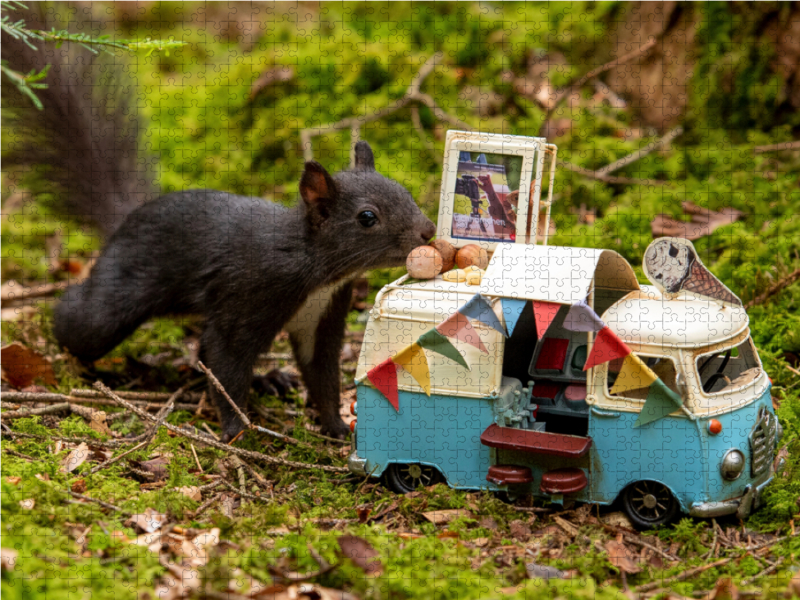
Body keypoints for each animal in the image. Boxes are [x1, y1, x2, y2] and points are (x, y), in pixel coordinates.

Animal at [1, 8, 438, 440]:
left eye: (405, 191)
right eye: (367, 217)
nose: (428, 231)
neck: (314, 266)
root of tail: (126, 219)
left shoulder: (324, 315)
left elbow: (321, 375)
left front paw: (336, 427)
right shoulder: (248, 294)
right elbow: (226, 361)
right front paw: (236, 429)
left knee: (199, 352)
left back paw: (269, 379)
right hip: (117, 297)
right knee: (83, 321)